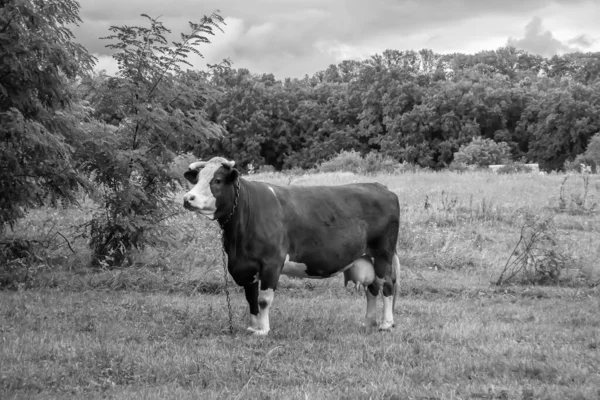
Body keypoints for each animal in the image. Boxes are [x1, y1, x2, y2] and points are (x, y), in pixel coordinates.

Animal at [183, 156, 398, 334]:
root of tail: (381, 187)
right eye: (197, 179)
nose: (187, 198)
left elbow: (263, 299)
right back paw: (368, 322)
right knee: (372, 288)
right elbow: (251, 298)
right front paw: (253, 328)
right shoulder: (246, 266)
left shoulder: (272, 262)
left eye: (217, 180)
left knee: (386, 285)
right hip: (365, 257)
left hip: (383, 254)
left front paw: (263, 330)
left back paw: (386, 324)